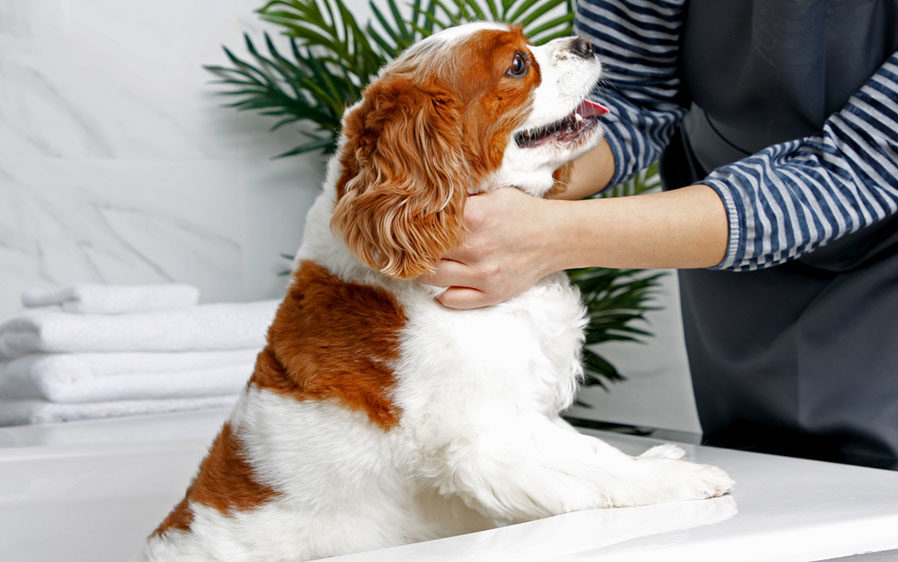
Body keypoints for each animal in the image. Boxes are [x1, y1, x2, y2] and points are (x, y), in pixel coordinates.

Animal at [136, 23, 732, 560]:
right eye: (518, 65)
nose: (586, 42)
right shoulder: (488, 438)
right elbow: (598, 469)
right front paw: (678, 482)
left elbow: (590, 446)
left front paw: (658, 462)